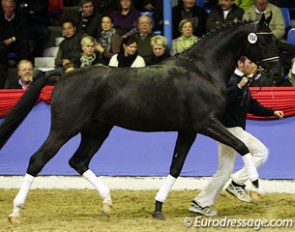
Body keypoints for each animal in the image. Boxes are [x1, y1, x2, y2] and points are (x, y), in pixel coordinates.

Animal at [0, 14, 282, 223]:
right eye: (264, 41)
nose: (278, 73)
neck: (201, 71)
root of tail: (64, 75)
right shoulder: (206, 124)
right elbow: (242, 146)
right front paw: (256, 189)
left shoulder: (188, 130)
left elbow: (176, 166)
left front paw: (158, 208)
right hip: (64, 129)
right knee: (37, 160)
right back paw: (15, 212)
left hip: (97, 130)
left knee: (78, 161)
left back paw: (107, 203)